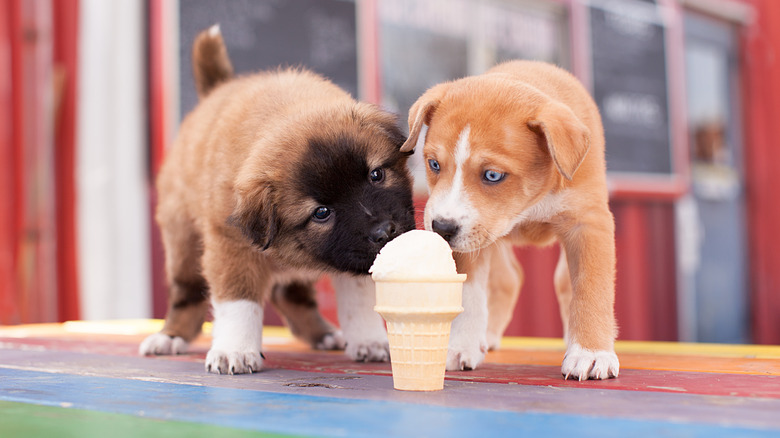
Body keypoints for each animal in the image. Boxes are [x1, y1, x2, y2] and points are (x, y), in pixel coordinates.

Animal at [142, 25, 418, 372]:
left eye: (376, 175)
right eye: (321, 212)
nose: (385, 232)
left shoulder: (356, 256)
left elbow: (359, 300)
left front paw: (368, 340)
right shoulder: (231, 247)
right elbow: (238, 302)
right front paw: (235, 350)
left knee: (291, 295)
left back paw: (323, 334)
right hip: (183, 243)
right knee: (186, 294)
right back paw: (170, 337)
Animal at [402, 60, 616, 380]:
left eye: (493, 175)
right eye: (434, 164)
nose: (441, 229)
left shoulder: (589, 224)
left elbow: (591, 288)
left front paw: (590, 353)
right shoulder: (470, 237)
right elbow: (468, 293)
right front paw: (461, 346)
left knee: (563, 283)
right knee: (507, 280)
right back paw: (486, 336)